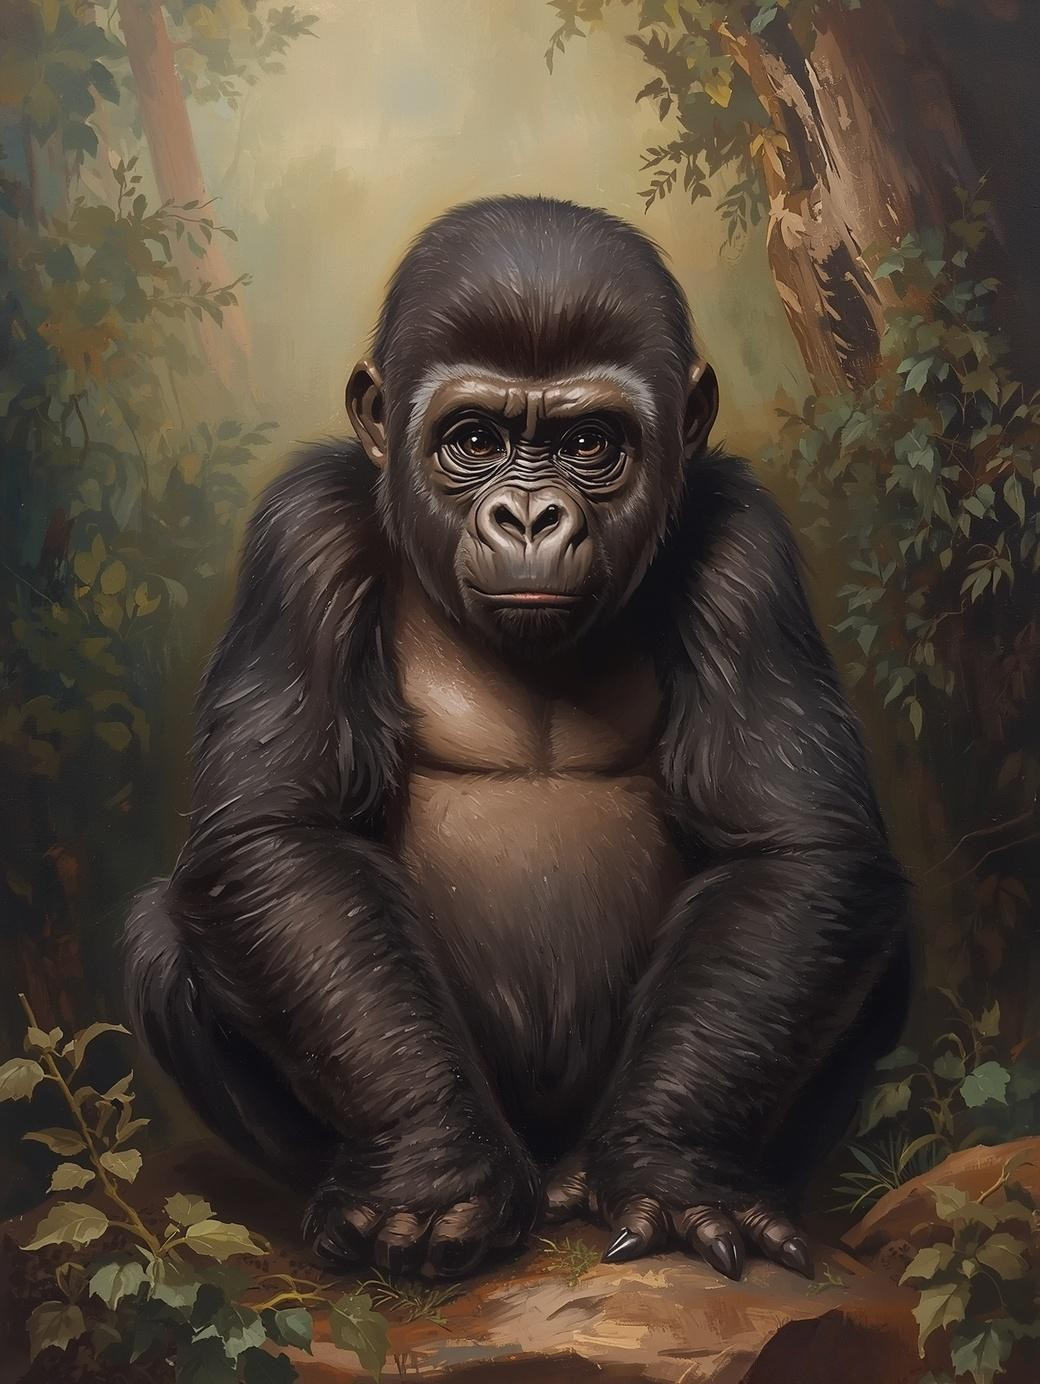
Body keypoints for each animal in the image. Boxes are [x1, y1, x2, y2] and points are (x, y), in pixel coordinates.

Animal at [125, 195, 909, 1284]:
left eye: (587, 443)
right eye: (473, 438)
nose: (530, 513)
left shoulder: (744, 548)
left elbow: (797, 849)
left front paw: (670, 1167)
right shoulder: (301, 537)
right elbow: (274, 837)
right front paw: (432, 1174)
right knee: (162, 935)